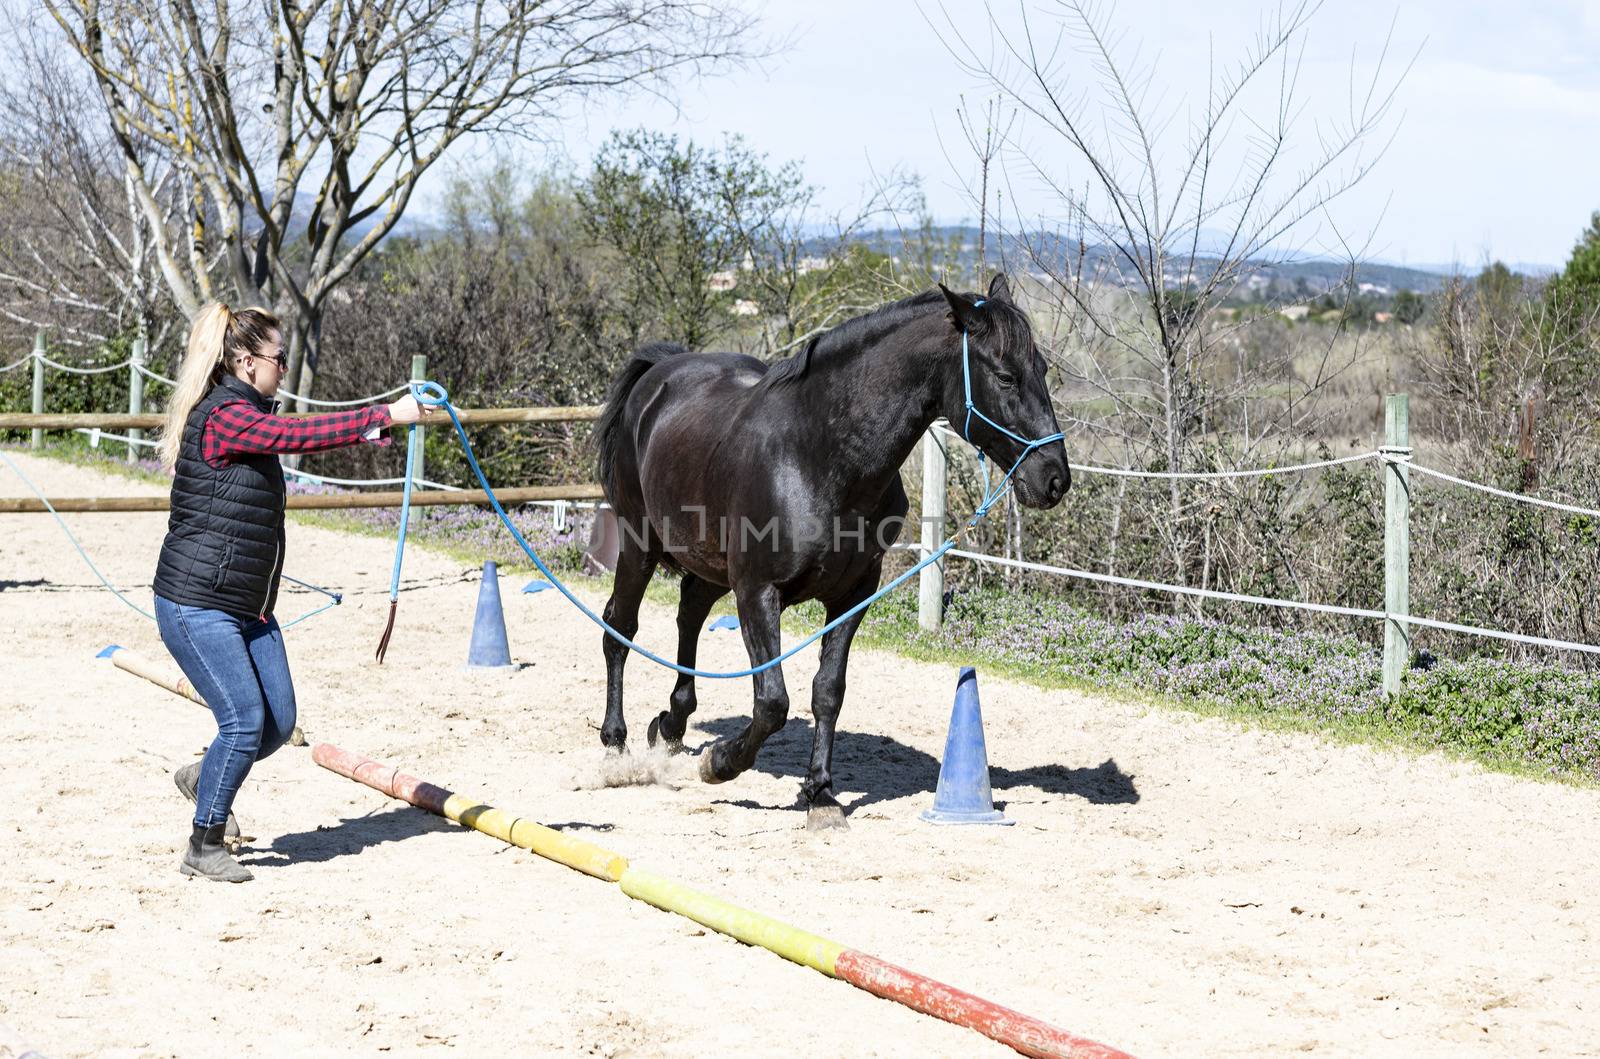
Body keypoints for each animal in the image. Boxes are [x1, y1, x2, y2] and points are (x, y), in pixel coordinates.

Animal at [595, 278, 1068, 831]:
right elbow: (773, 702)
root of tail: (660, 373)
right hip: (639, 544)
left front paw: (819, 793)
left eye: (1042, 369)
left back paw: (671, 724)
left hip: (708, 562)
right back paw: (616, 744)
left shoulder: (852, 595)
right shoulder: (757, 592)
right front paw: (720, 764)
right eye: (1006, 377)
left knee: (689, 612)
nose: (1055, 478)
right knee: (620, 627)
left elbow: (828, 690)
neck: (816, 454)